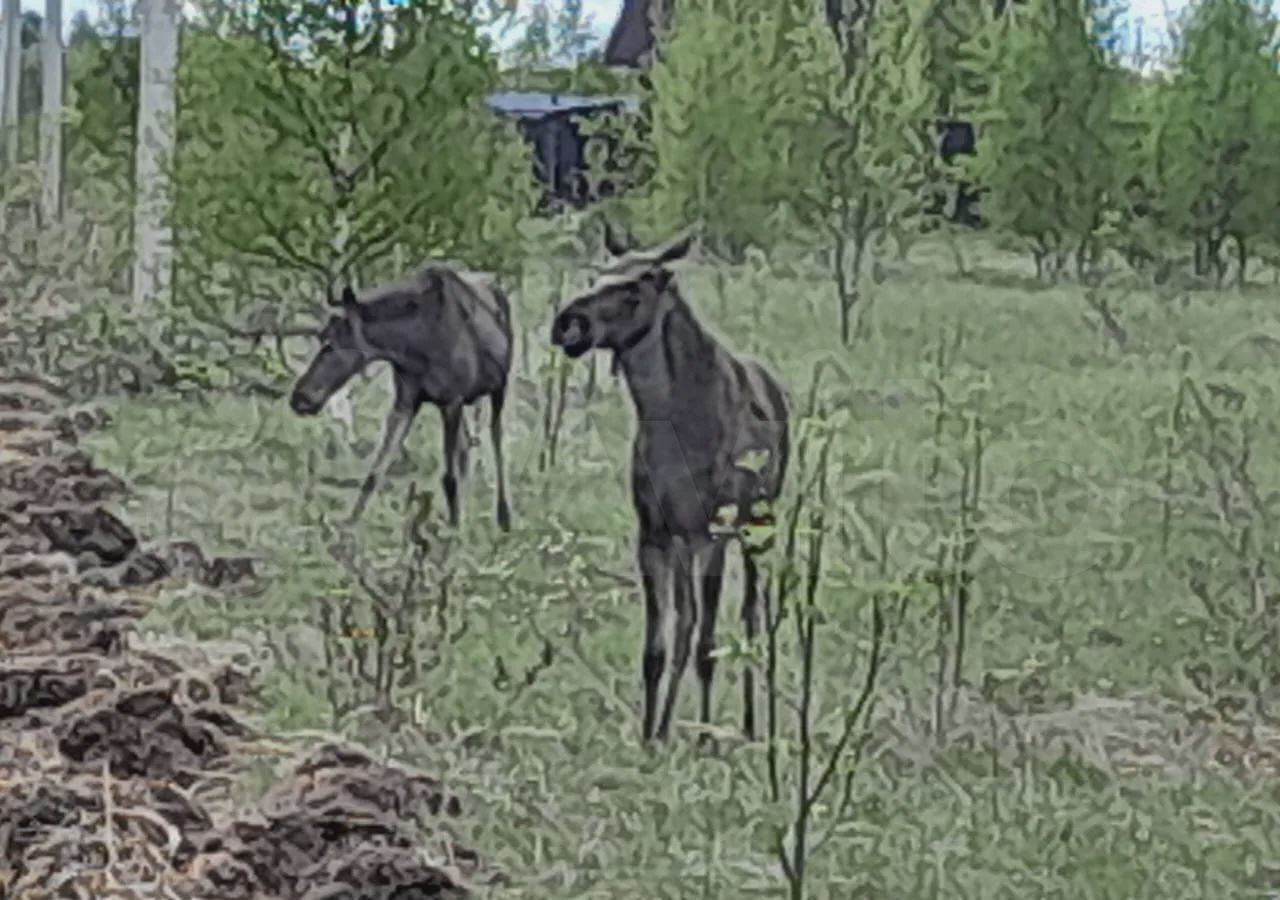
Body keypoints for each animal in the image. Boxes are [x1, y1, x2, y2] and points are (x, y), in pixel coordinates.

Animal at [288, 262, 512, 527]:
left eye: (330, 343)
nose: (301, 398)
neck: (412, 347)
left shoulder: (452, 401)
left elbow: (449, 477)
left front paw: (454, 529)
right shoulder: (406, 401)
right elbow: (375, 471)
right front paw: (349, 526)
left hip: (498, 388)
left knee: (496, 441)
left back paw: (503, 516)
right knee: (467, 447)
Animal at [550, 226, 788, 747]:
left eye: (636, 287)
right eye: (600, 273)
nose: (568, 324)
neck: (670, 418)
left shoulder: (713, 534)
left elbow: (706, 644)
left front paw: (703, 737)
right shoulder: (656, 535)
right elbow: (658, 646)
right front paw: (650, 735)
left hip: (756, 529)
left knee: (750, 617)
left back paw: (750, 724)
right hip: (688, 544)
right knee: (688, 620)